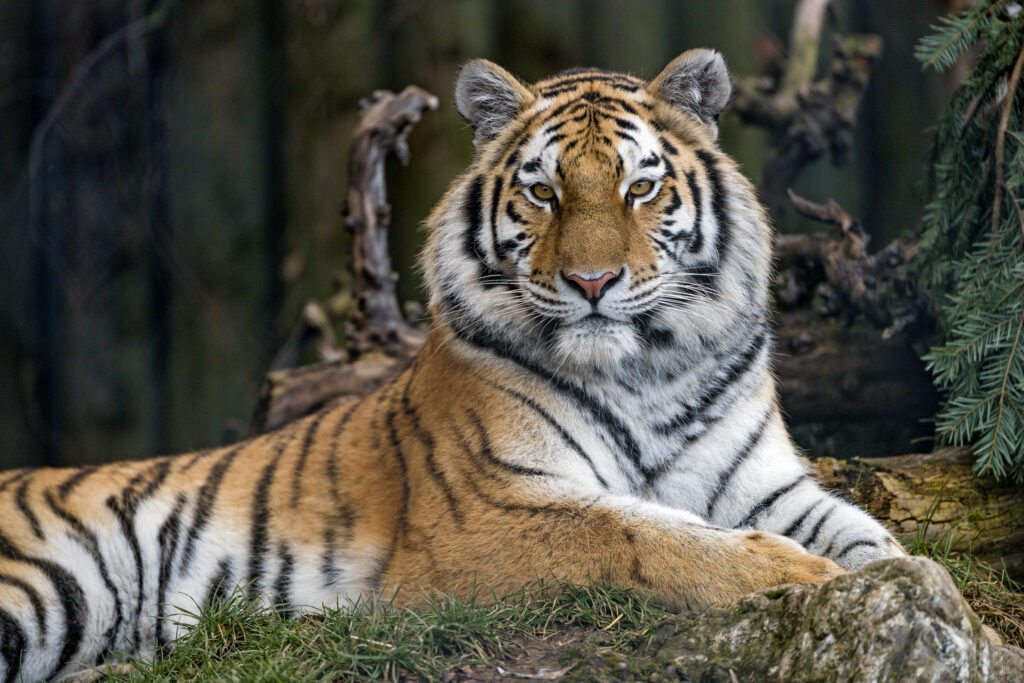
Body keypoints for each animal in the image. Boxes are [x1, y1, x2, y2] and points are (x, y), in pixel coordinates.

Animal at [0, 49, 907, 681]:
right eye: (543, 193)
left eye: (640, 189)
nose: (592, 282)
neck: (647, 370)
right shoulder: (488, 510)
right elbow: (646, 532)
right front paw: (797, 573)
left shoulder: (769, 485)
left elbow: (872, 537)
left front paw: (894, 582)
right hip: (41, 587)